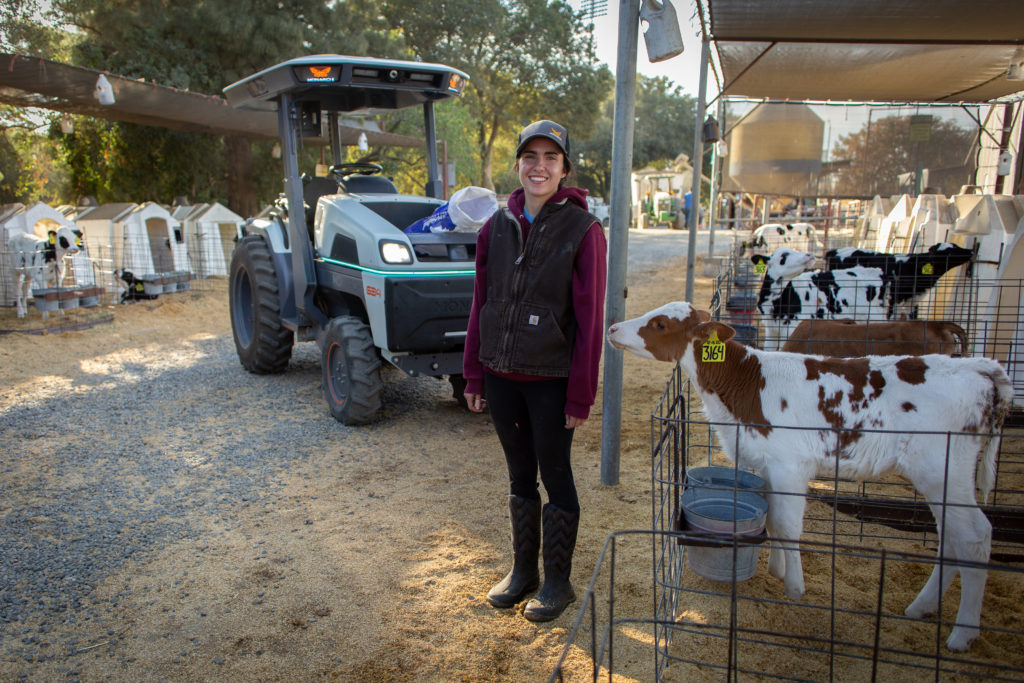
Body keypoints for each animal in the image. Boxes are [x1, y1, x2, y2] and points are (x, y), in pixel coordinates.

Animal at [606, 303, 1015, 651]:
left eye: (660, 324)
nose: (612, 328)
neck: (746, 387)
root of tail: (981, 367)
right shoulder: (768, 463)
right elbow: (772, 517)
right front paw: (775, 570)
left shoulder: (791, 464)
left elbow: (789, 526)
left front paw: (794, 587)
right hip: (941, 477)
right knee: (951, 537)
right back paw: (920, 608)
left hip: (943, 468)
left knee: (976, 536)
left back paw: (962, 634)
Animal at [753, 246, 888, 352]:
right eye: (784, 255)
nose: (809, 254)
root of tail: (877, 271)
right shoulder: (771, 330)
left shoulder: (793, 328)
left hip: (874, 319)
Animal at [823, 242, 974, 321]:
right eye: (949, 252)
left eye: (956, 245)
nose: (971, 251)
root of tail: (834, 251)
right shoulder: (893, 300)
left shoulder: (913, 300)